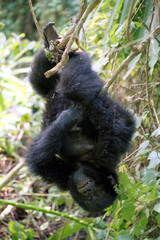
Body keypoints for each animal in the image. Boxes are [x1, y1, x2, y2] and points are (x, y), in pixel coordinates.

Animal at [25, 23, 135, 212]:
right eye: (89, 196)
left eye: (97, 194)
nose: (86, 188)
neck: (84, 163)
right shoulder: (62, 177)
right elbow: (40, 160)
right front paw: (70, 118)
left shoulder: (101, 157)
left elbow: (116, 126)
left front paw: (70, 117)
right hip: (49, 85)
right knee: (43, 77)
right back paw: (55, 44)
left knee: (74, 86)